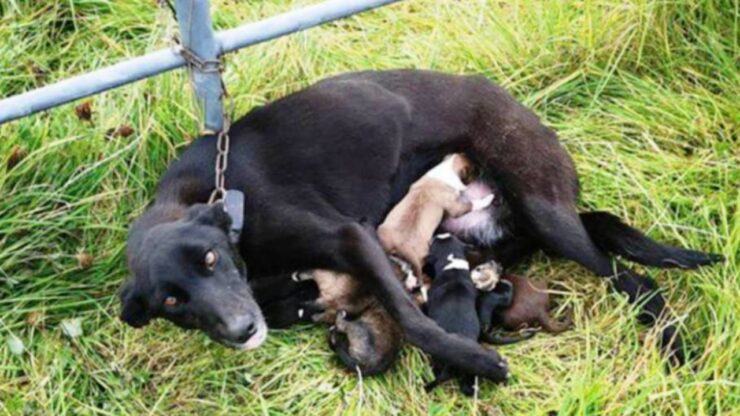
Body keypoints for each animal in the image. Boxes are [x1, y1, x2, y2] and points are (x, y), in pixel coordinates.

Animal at [422, 234, 486, 396]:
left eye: (433, 243)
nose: (435, 234)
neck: (453, 265)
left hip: (438, 360)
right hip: (469, 372)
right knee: (465, 386)